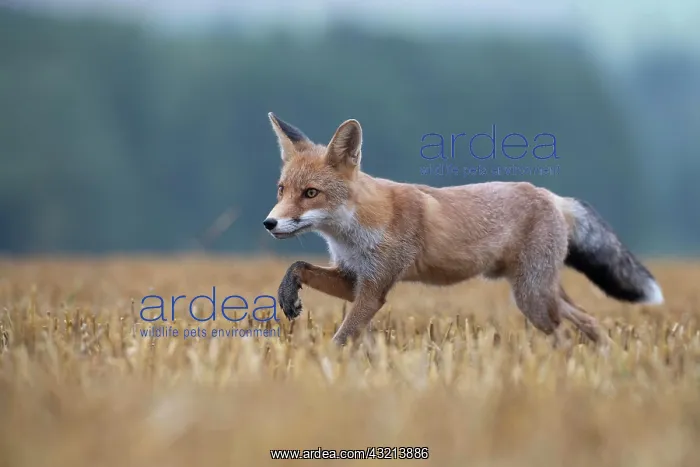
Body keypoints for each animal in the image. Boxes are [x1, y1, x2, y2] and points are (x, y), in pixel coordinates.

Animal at [263, 112, 664, 346]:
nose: (269, 223)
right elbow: (298, 267)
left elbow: (342, 339)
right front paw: (287, 294)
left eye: (310, 193)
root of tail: (550, 195)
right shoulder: (353, 279)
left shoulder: (375, 288)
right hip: (541, 291)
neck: (352, 233)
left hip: (533, 298)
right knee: (586, 320)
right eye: (281, 190)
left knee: (573, 327)